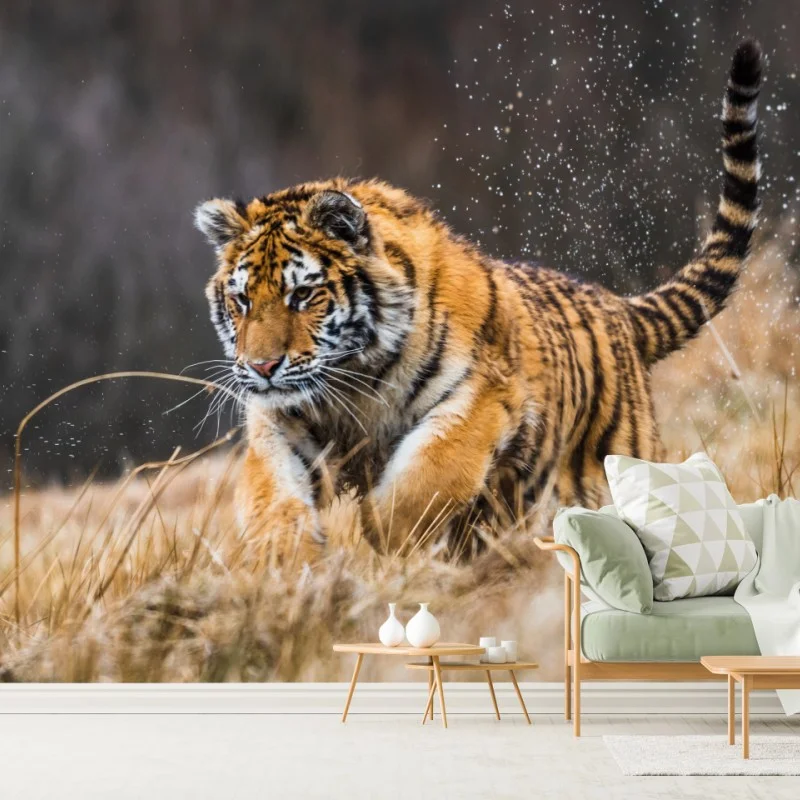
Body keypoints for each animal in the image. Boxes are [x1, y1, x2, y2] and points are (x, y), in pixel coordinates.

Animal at [194, 40, 762, 564]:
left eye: (303, 295)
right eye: (242, 300)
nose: (262, 367)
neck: (353, 382)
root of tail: (617, 307)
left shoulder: (482, 398)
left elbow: (426, 478)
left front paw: (380, 544)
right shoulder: (280, 419)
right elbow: (271, 492)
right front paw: (286, 562)